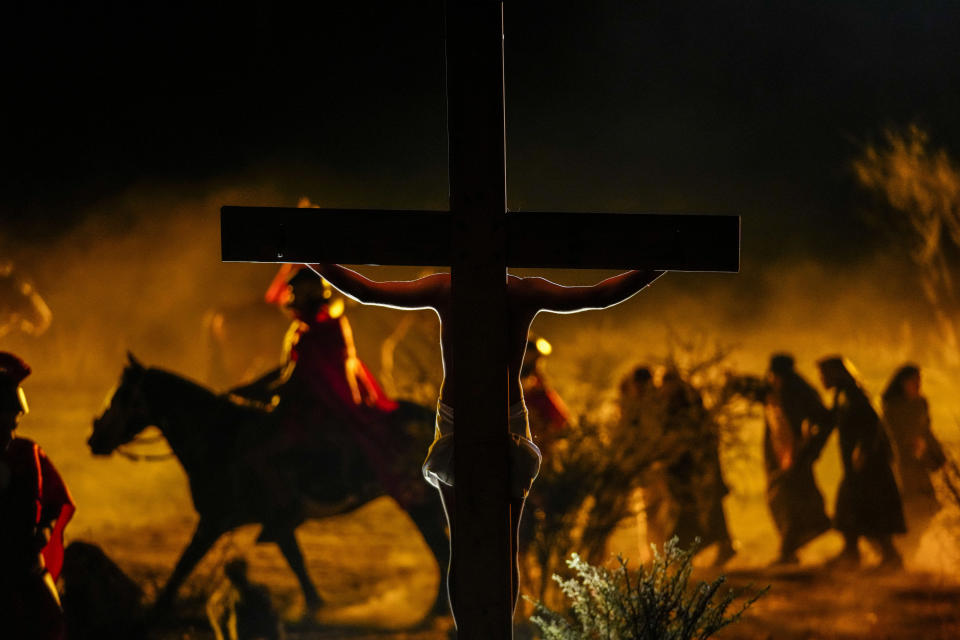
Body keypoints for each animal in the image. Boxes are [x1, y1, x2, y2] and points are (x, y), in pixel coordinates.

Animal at [92, 352, 448, 616]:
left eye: (122, 396)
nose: (93, 440)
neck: (219, 438)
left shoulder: (214, 521)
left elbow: (183, 565)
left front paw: (154, 611)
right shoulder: (275, 524)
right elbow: (297, 563)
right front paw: (315, 607)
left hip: (418, 502)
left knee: (440, 548)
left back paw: (437, 610)